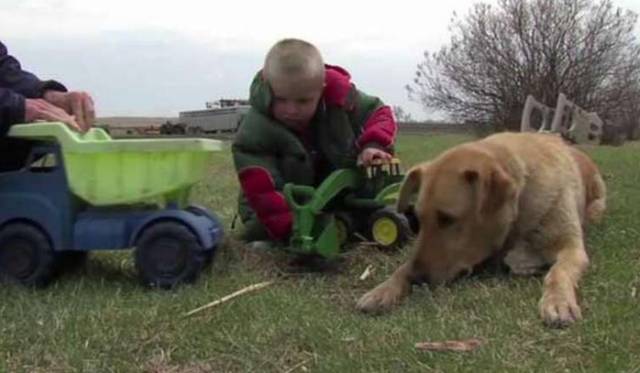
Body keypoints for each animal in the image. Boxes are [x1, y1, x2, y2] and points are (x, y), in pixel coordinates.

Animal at [358, 132, 608, 326]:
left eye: (447, 219)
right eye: (418, 219)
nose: (416, 279)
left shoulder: (572, 249)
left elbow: (558, 272)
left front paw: (558, 301)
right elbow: (402, 267)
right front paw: (384, 289)